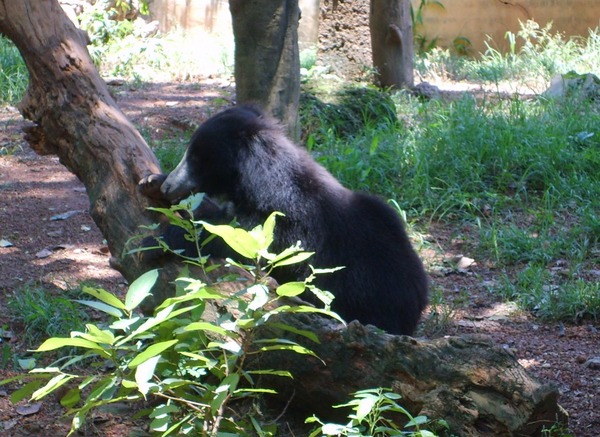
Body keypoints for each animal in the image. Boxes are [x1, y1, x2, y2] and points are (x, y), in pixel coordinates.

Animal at [141, 104, 428, 334]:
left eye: (197, 157)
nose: (170, 185)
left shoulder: (281, 227)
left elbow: (229, 237)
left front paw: (154, 243)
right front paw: (151, 182)